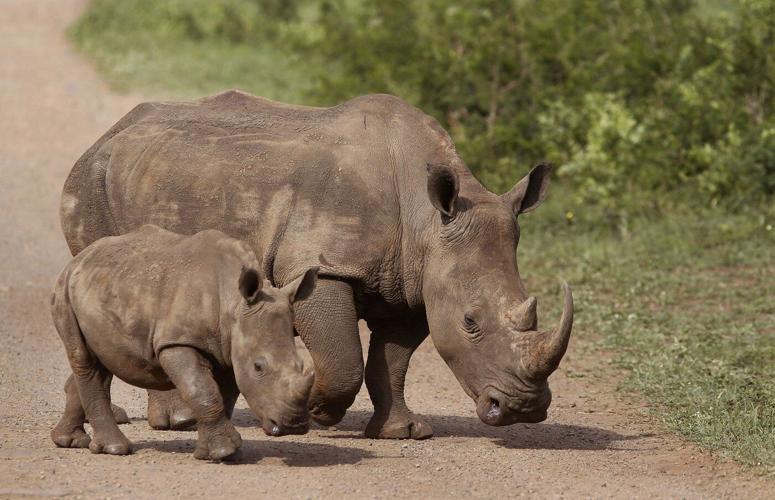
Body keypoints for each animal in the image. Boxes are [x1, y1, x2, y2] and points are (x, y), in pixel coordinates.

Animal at [50, 224, 318, 460]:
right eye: (258, 367)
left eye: (300, 365)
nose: (294, 426)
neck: (233, 302)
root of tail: (79, 259)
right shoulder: (177, 342)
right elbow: (202, 390)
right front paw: (224, 452)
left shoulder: (228, 347)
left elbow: (222, 396)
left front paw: (213, 452)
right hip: (64, 292)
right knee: (84, 360)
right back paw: (114, 449)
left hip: (102, 290)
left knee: (103, 360)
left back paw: (69, 441)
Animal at [60, 90, 573, 439]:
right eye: (471, 322)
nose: (524, 409)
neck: (426, 221)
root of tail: (107, 135)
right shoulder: (323, 265)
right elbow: (344, 358)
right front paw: (320, 414)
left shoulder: (414, 283)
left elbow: (392, 361)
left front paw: (402, 432)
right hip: (92, 183)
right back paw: (179, 421)